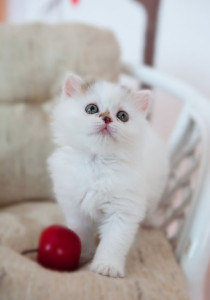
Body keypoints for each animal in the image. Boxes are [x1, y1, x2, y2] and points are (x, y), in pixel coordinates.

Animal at [47, 73, 169, 278]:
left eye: (122, 116)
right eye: (91, 109)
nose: (106, 118)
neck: (98, 163)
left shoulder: (123, 209)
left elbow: (114, 242)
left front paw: (107, 267)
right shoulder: (76, 206)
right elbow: (81, 234)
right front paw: (84, 254)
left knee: (151, 207)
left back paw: (151, 222)